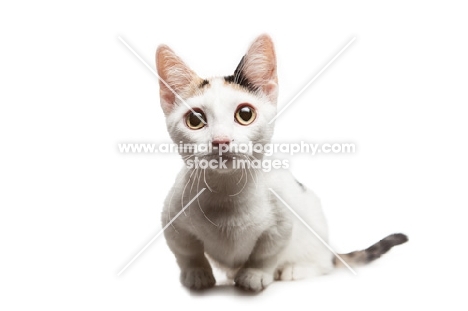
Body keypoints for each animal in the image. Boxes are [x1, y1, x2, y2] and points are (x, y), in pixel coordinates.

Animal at [155, 34, 408, 292]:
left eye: (245, 114)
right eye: (195, 120)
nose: (221, 140)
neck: (226, 191)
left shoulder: (281, 222)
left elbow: (267, 253)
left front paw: (254, 274)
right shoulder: (172, 220)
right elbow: (186, 252)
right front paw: (196, 274)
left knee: (321, 263)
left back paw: (295, 269)